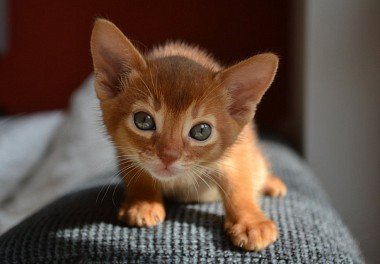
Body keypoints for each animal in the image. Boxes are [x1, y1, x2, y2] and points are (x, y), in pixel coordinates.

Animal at [90, 19, 286, 252]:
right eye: (143, 120)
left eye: (201, 131)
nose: (168, 156)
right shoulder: (125, 152)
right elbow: (138, 173)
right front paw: (143, 202)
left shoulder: (238, 150)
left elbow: (239, 182)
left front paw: (250, 222)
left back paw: (271, 183)